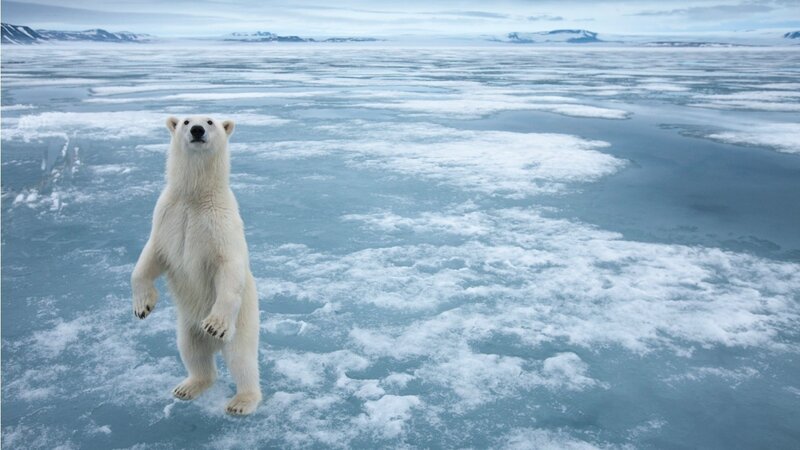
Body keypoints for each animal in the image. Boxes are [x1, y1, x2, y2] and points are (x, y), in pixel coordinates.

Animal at [131, 116, 261, 415]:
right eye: (186, 120)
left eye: (210, 121)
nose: (197, 130)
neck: (194, 196)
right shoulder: (167, 216)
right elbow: (150, 257)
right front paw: (143, 306)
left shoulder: (220, 224)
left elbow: (229, 267)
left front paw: (214, 324)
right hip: (187, 326)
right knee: (192, 352)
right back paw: (187, 386)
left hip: (243, 322)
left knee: (241, 359)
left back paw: (241, 401)